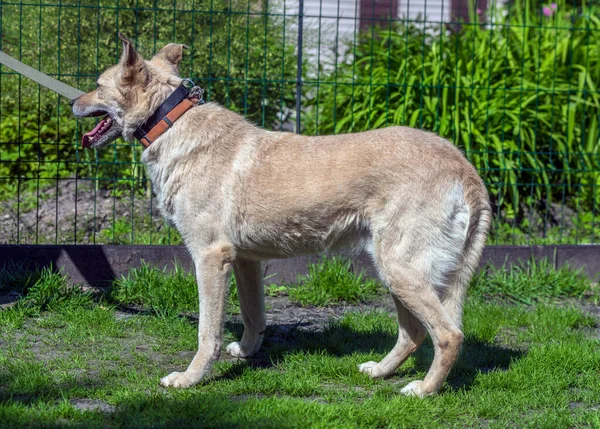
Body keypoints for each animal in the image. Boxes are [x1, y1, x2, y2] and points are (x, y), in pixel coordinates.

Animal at [71, 33, 492, 398]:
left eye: (97, 85)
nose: (72, 103)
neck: (171, 121)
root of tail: (465, 169)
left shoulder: (210, 257)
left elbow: (207, 333)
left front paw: (192, 378)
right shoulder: (245, 261)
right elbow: (254, 316)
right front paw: (246, 353)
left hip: (401, 269)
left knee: (449, 335)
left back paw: (424, 389)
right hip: (397, 271)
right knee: (414, 334)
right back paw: (381, 371)